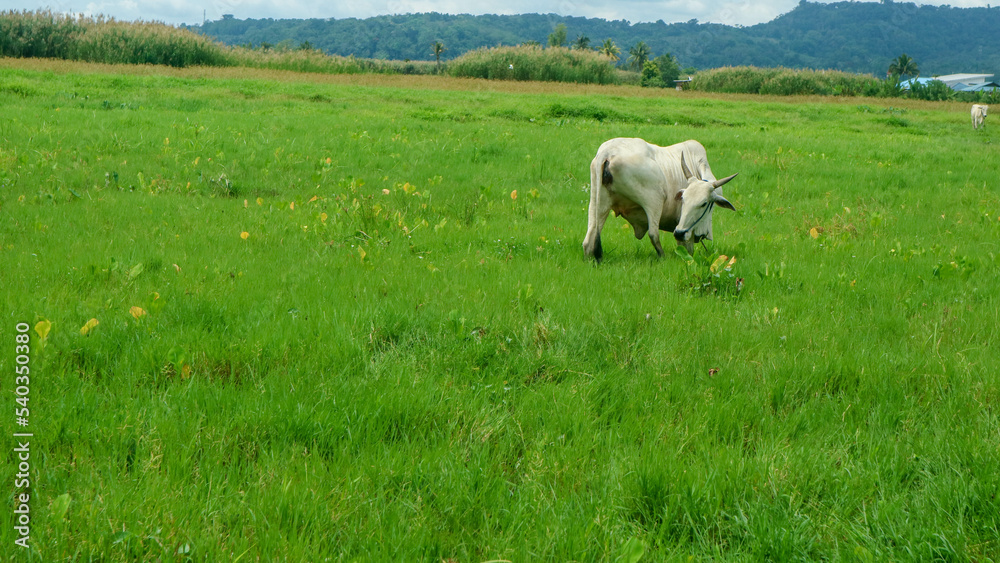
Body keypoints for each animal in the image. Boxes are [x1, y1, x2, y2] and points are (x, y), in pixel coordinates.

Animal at [582, 138, 737, 262]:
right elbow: (687, 249)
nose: (679, 233)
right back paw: (662, 257)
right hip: (654, 200)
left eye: (704, 203)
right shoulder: (686, 229)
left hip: (598, 202)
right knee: (653, 233)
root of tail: (607, 152)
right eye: (683, 200)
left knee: (589, 239)